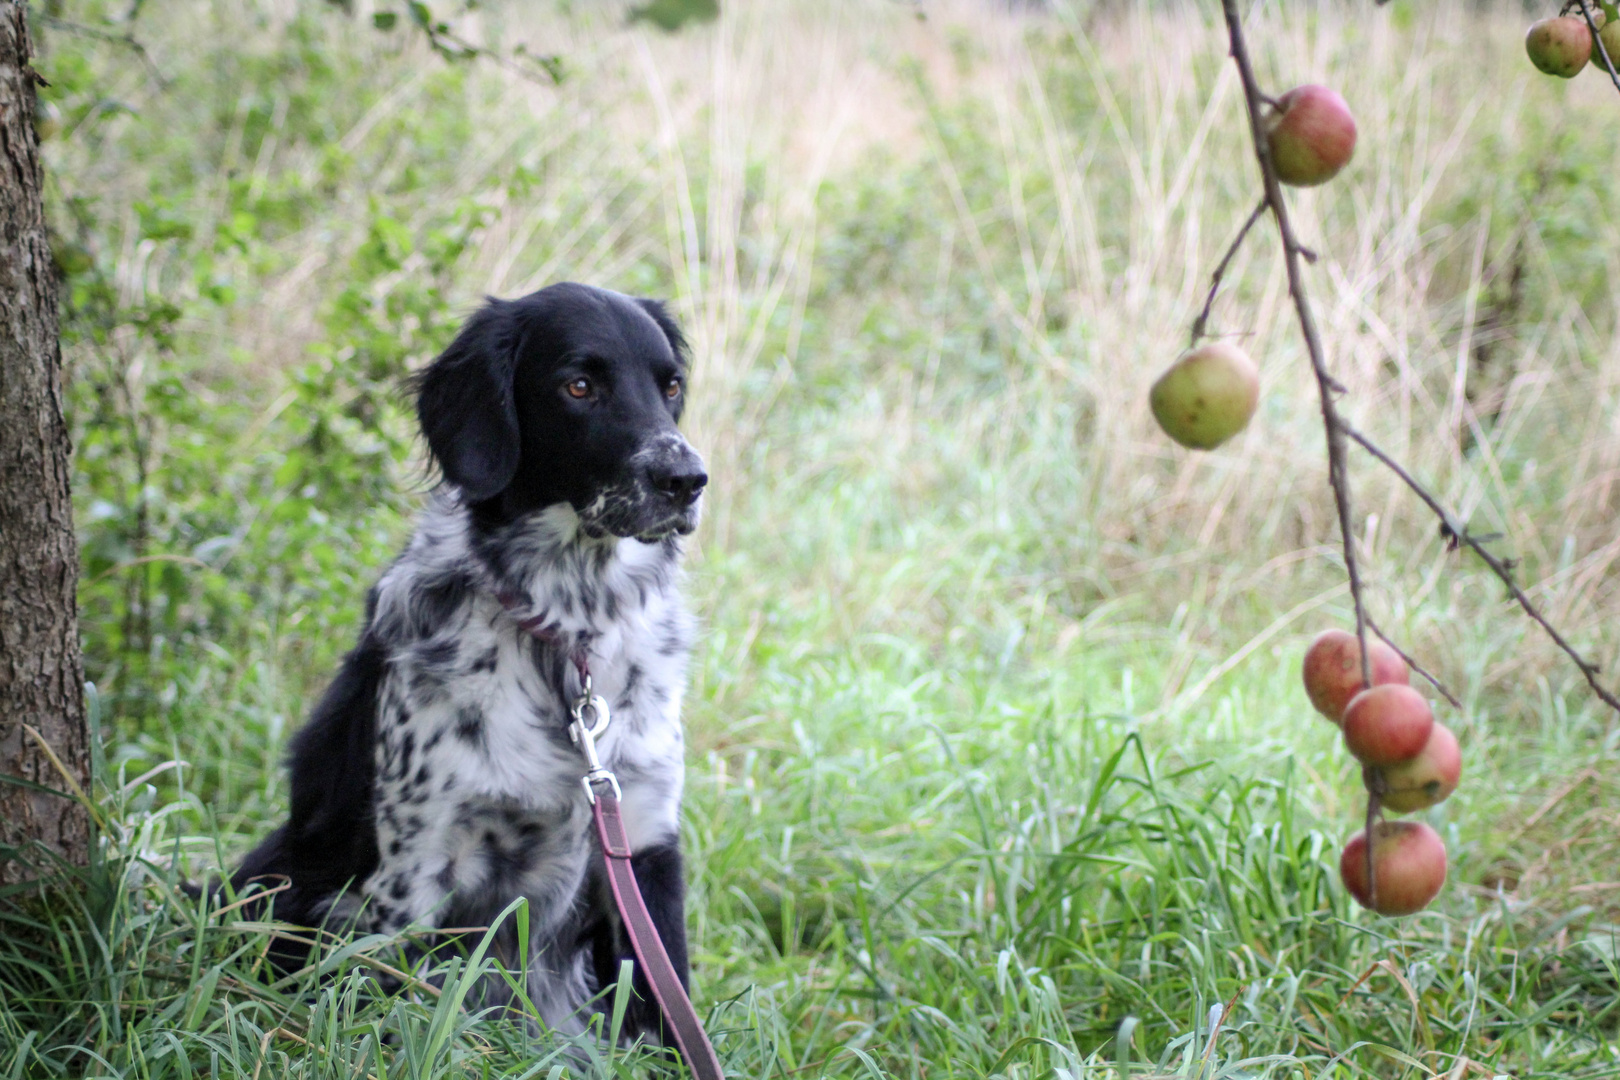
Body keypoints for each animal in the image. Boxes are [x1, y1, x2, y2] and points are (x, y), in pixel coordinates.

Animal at [233, 283, 703, 1042]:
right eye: (579, 385)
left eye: (671, 385)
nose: (687, 479)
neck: (565, 634)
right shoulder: (414, 869)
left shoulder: (645, 844)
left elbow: (668, 1017)